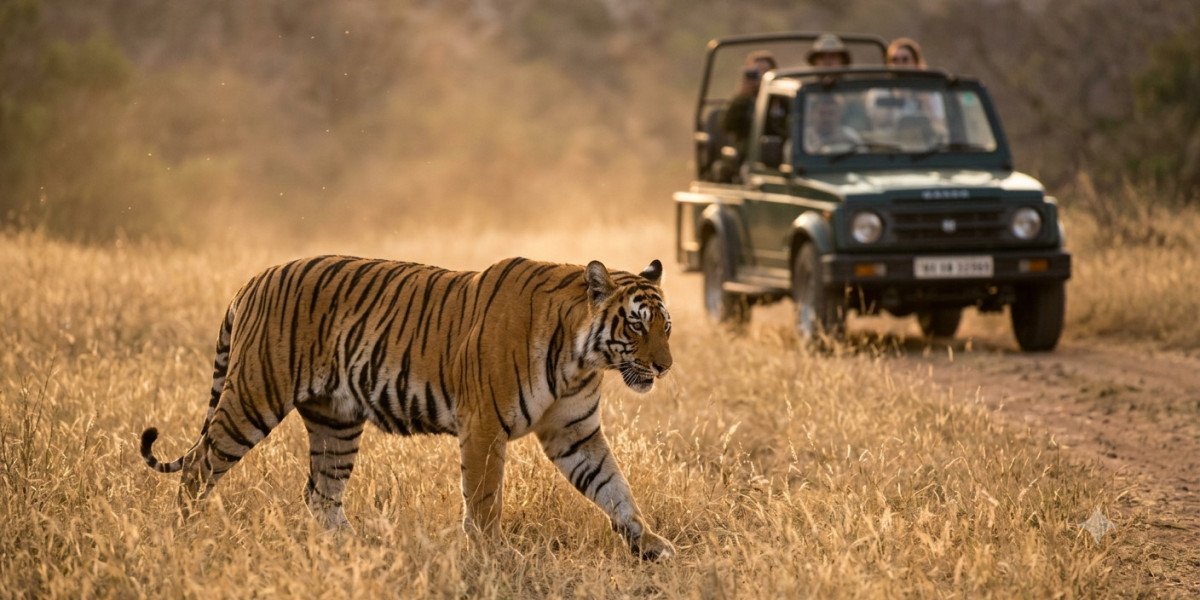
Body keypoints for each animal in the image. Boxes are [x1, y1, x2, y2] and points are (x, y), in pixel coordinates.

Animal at [139, 255, 676, 560]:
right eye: (635, 325)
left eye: (665, 326)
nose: (666, 366)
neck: (581, 359)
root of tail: (251, 280)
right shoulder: (484, 425)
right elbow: (485, 498)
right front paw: (492, 556)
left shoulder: (575, 432)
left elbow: (614, 487)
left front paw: (648, 544)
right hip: (254, 396)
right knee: (200, 466)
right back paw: (181, 537)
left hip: (336, 421)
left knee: (321, 495)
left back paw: (357, 550)